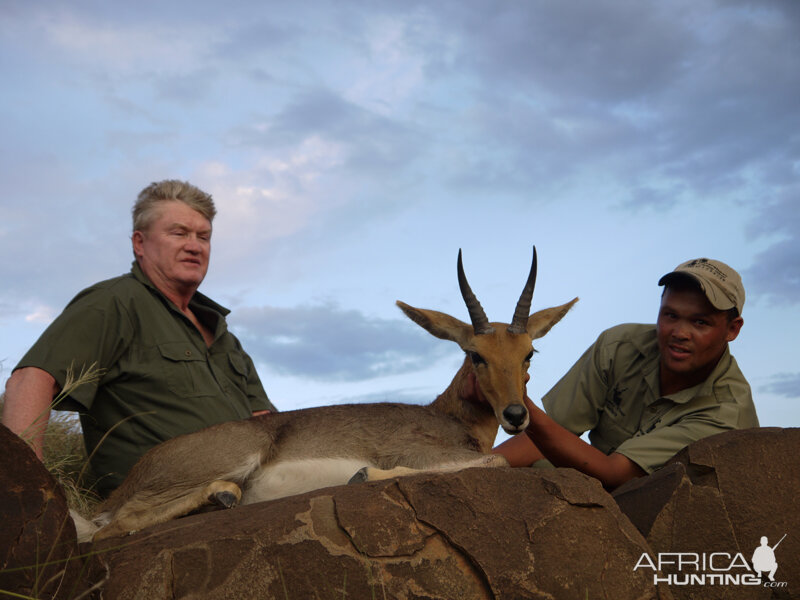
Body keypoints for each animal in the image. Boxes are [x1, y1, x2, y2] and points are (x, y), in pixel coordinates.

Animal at [79, 248, 576, 544]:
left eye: (529, 352)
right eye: (475, 355)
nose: (516, 415)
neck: (451, 419)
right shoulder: (419, 453)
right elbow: (498, 461)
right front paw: (363, 475)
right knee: (110, 529)